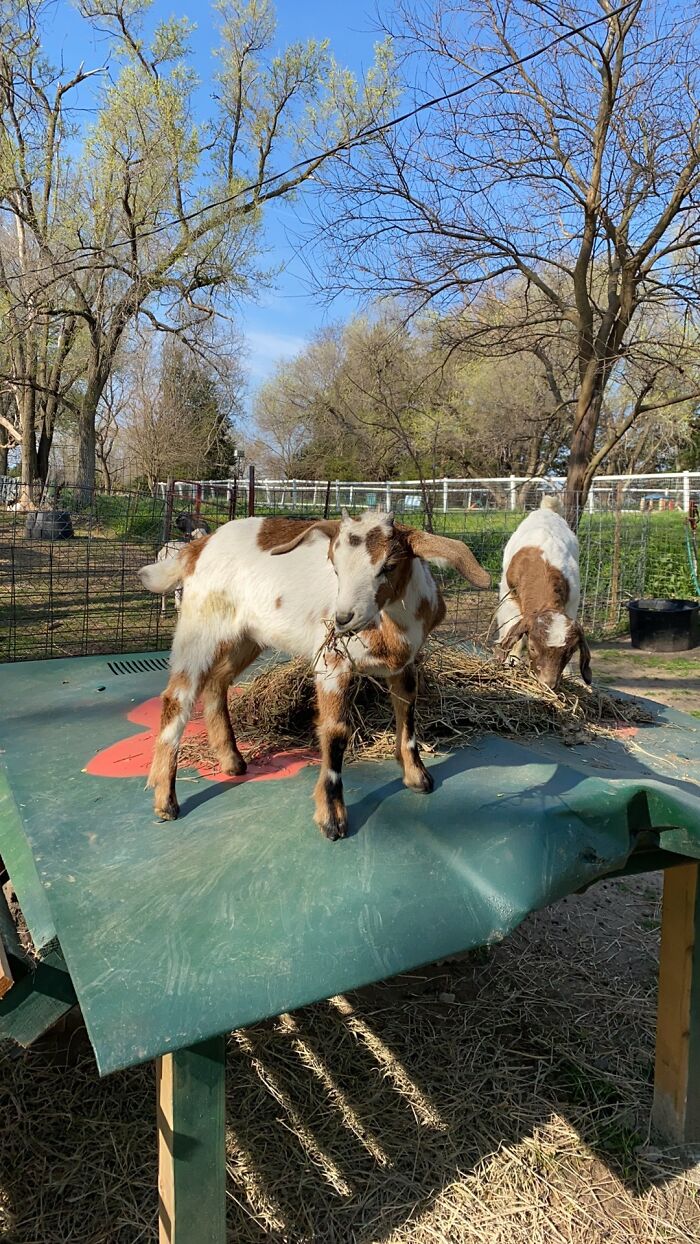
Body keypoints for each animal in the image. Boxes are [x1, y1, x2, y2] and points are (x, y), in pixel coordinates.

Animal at [138, 509, 491, 837]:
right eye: (334, 565)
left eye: (389, 566)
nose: (343, 619)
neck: (392, 623)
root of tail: (199, 546)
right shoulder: (332, 663)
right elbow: (336, 732)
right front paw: (332, 817)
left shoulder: (406, 662)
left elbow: (408, 714)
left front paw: (417, 777)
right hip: (200, 627)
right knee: (177, 697)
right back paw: (165, 799)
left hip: (247, 636)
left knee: (216, 682)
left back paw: (232, 761)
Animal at [494, 495, 591, 690]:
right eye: (532, 647)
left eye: (570, 652)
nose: (548, 683)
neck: (543, 565)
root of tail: (547, 509)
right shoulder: (509, 598)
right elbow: (514, 636)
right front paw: (510, 662)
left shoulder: (572, 603)